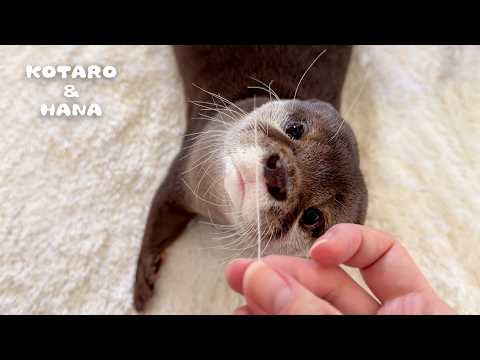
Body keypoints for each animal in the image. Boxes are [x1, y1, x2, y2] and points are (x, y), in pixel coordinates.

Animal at [133, 46, 370, 312]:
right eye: (295, 129)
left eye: (312, 217)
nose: (279, 175)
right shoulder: (185, 167)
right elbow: (157, 218)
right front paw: (142, 278)